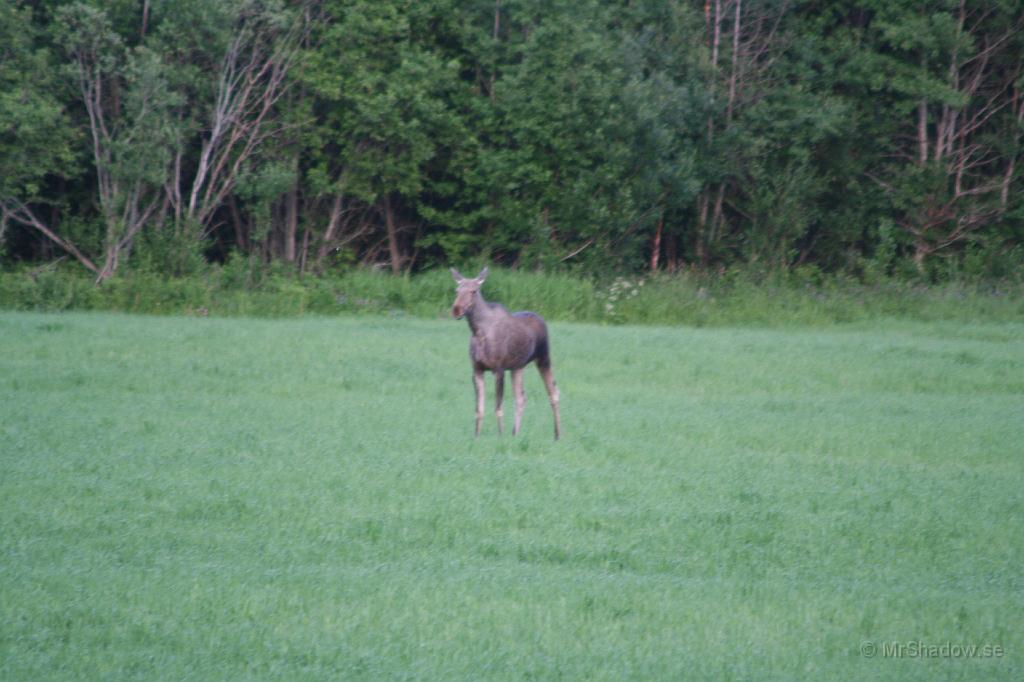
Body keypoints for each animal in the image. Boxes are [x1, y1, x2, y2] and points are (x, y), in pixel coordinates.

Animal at [448, 268, 561, 438]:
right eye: (457, 290)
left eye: (473, 291)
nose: (456, 310)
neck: (478, 331)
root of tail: (541, 319)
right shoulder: (477, 370)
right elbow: (479, 410)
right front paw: (477, 436)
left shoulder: (498, 369)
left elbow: (498, 407)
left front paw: (500, 436)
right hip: (518, 367)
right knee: (521, 397)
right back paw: (515, 433)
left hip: (543, 358)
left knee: (553, 392)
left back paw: (557, 435)